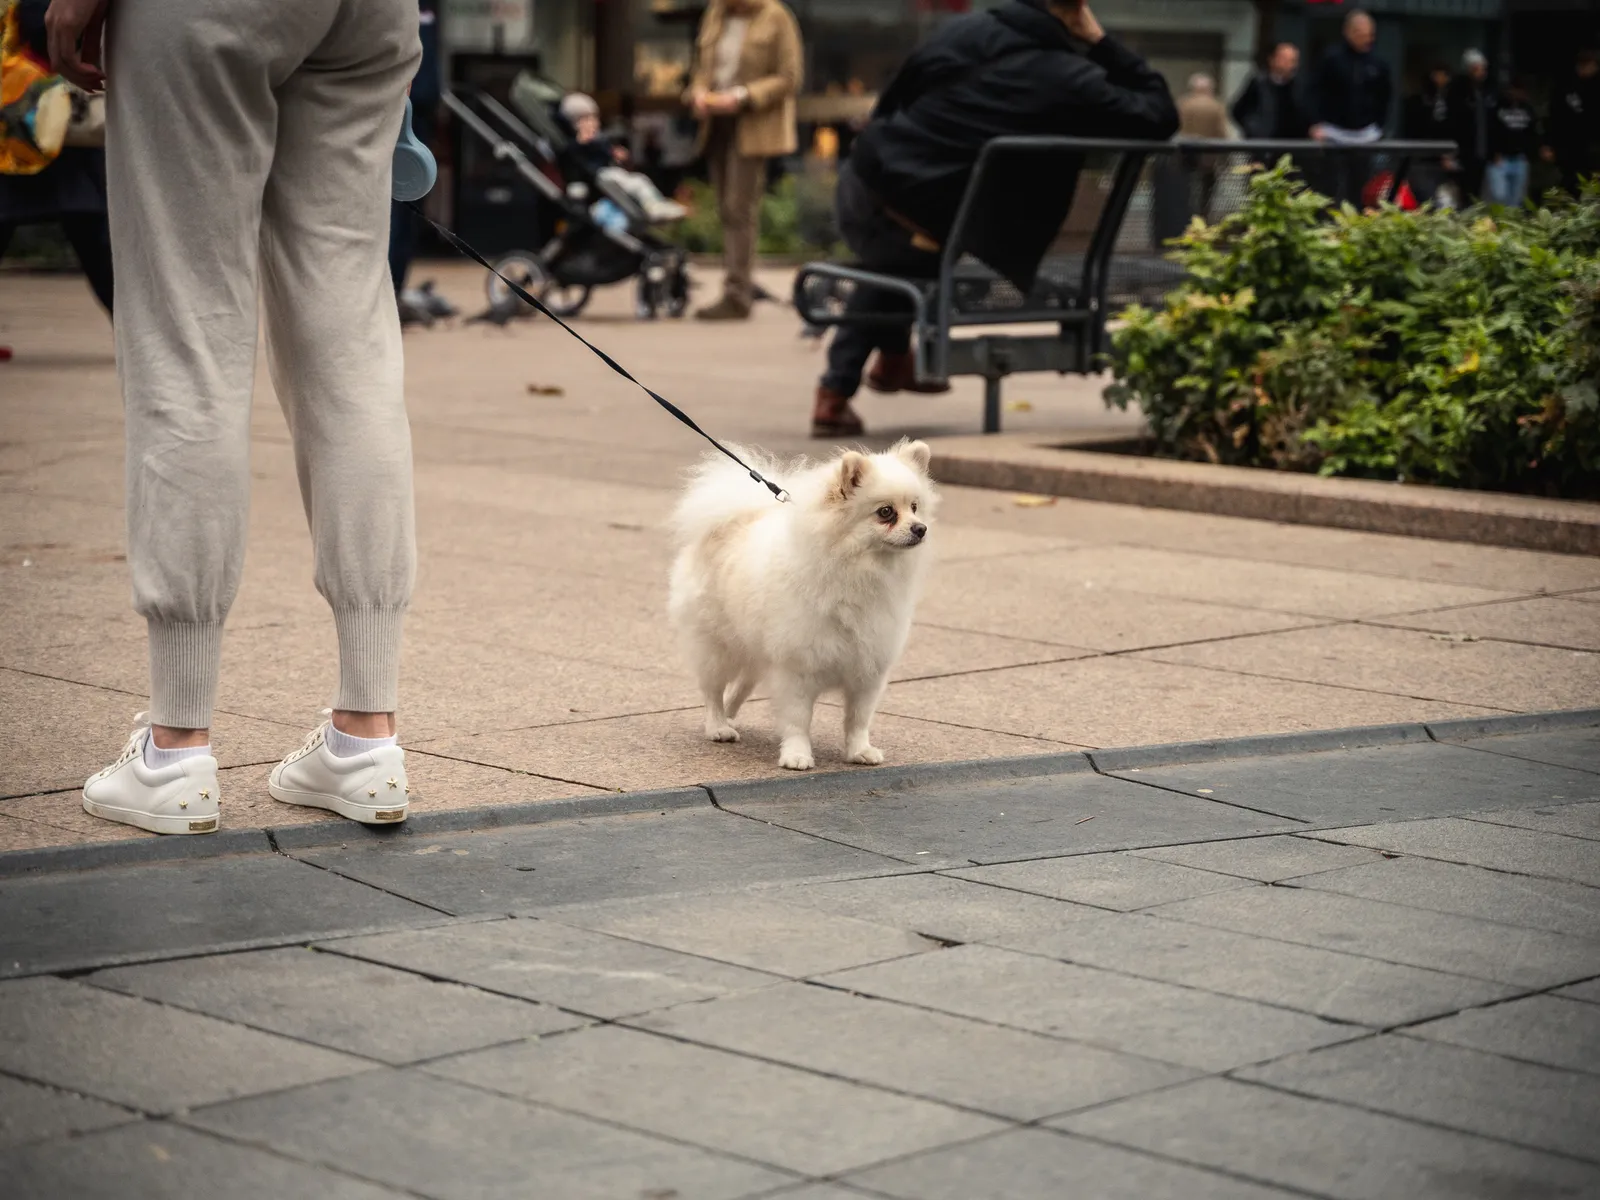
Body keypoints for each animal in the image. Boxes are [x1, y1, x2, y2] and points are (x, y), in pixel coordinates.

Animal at [665, 441, 934, 771]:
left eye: (915, 507)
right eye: (886, 512)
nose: (920, 528)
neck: (856, 571)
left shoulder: (868, 668)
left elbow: (858, 719)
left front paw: (860, 750)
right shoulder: (797, 668)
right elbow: (797, 719)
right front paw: (796, 755)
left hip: (755, 648)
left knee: (742, 685)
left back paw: (729, 715)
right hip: (716, 647)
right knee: (713, 690)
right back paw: (718, 726)